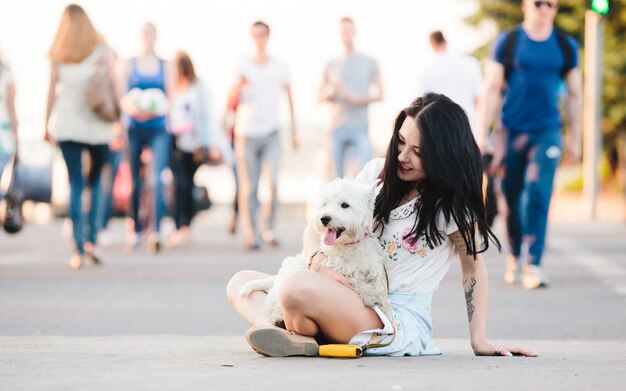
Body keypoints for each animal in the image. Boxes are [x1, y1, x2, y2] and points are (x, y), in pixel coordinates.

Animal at [236, 179, 388, 326]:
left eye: (345, 205)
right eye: (325, 204)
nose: (324, 218)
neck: (349, 246)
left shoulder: (374, 265)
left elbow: (380, 283)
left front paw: (383, 303)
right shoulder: (336, 264)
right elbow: (354, 278)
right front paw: (369, 294)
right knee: (272, 303)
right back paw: (278, 318)